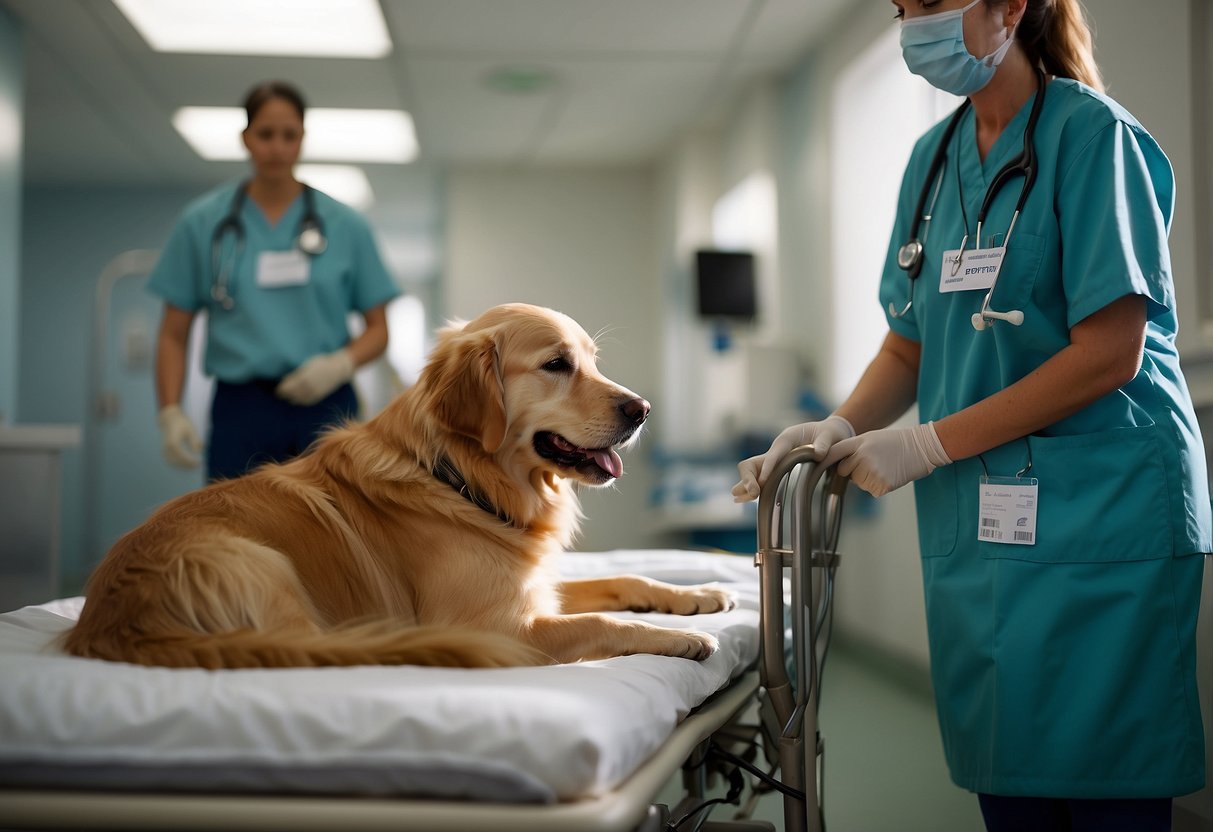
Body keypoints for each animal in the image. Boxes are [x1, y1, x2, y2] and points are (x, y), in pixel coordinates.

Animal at [63, 301, 727, 669]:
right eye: (557, 365)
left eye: (592, 360)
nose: (642, 410)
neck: (460, 479)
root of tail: (105, 622)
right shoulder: (498, 624)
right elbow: (602, 623)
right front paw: (677, 637)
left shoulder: (534, 588)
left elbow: (623, 580)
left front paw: (698, 595)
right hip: (260, 565)